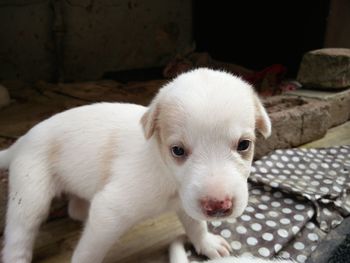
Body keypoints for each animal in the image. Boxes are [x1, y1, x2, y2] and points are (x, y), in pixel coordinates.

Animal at [0, 68, 278, 263]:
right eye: (178, 150)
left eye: (244, 145)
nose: (219, 206)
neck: (166, 175)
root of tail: (21, 141)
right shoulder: (109, 210)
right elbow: (88, 251)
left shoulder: (187, 200)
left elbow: (195, 223)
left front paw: (207, 243)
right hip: (31, 195)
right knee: (19, 235)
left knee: (75, 209)